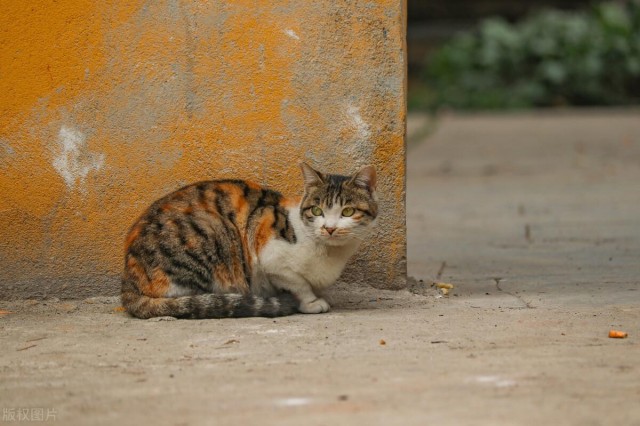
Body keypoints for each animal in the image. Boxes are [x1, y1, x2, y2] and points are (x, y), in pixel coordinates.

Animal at [121, 163, 376, 320]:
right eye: (317, 210)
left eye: (348, 211)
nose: (329, 228)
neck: (330, 253)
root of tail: (128, 282)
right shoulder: (270, 257)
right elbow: (298, 284)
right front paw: (311, 302)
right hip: (215, 229)